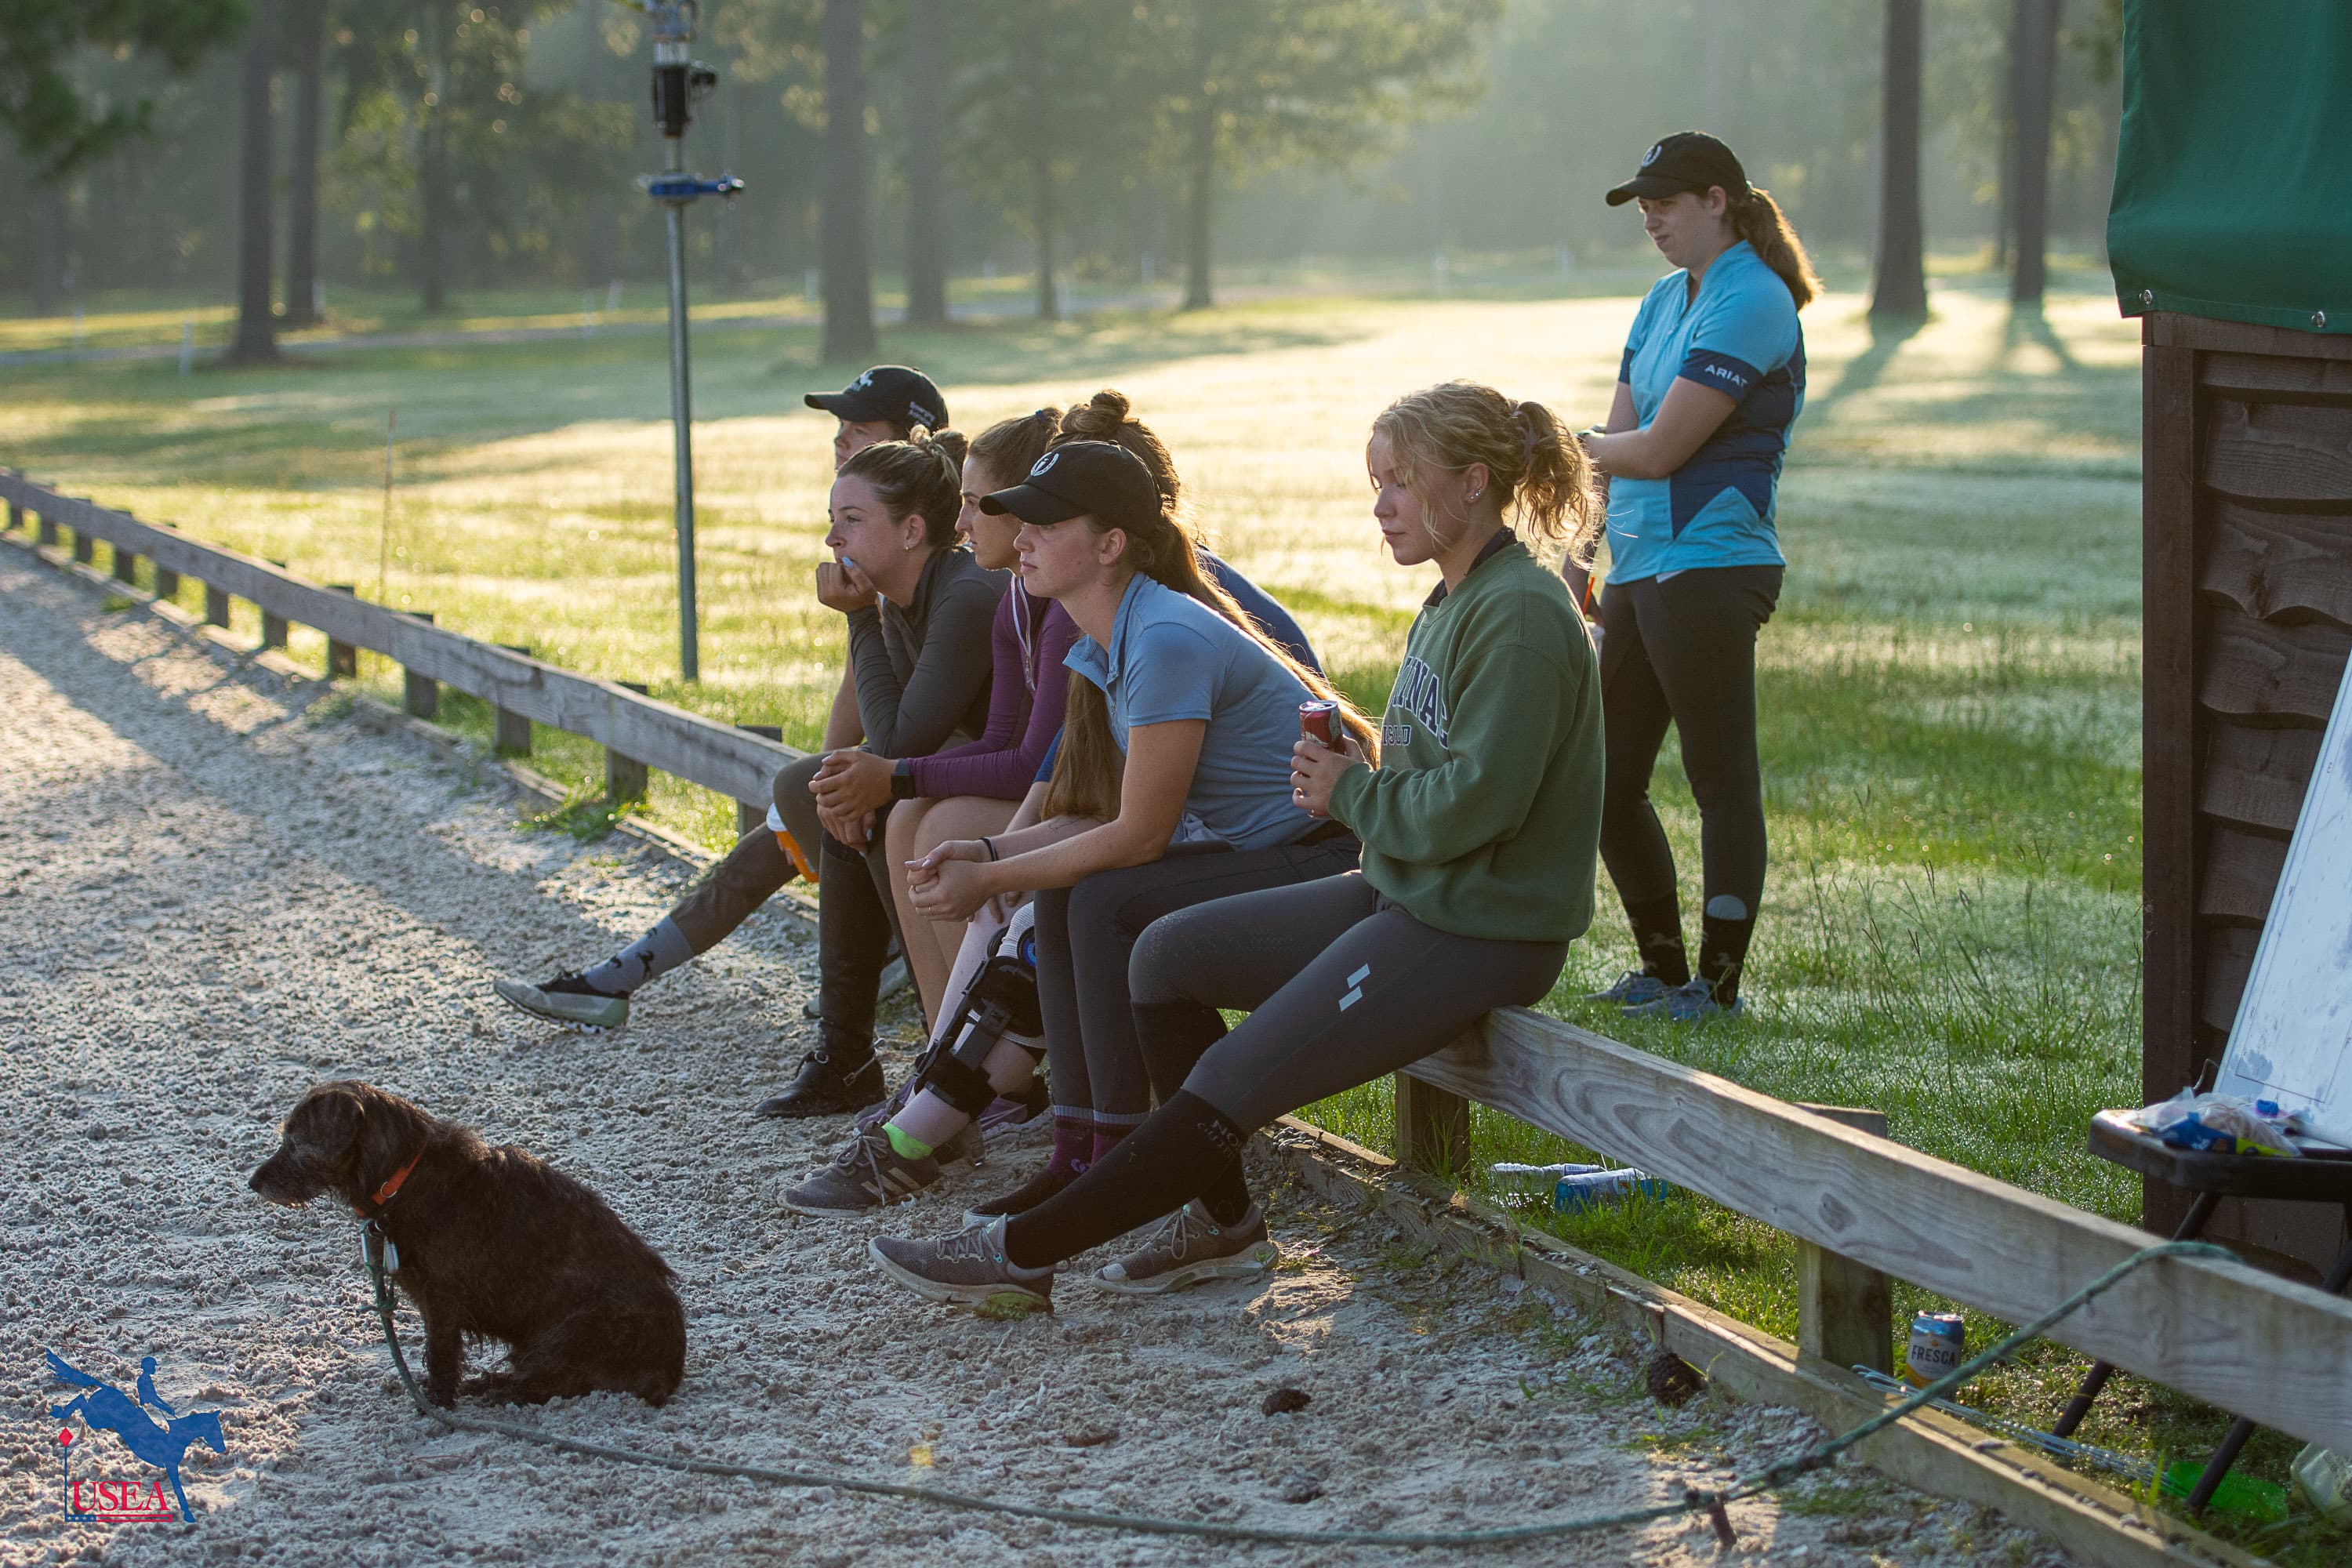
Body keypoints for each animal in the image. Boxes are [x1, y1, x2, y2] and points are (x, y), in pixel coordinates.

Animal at [250, 1081, 685, 1408]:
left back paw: (500, 1390)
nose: (252, 1183)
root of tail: (669, 1369)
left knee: (554, 1382)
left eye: (294, 1143)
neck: (401, 1178)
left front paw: (436, 1403)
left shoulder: (442, 1301)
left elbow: (441, 1353)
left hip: (570, 1332)